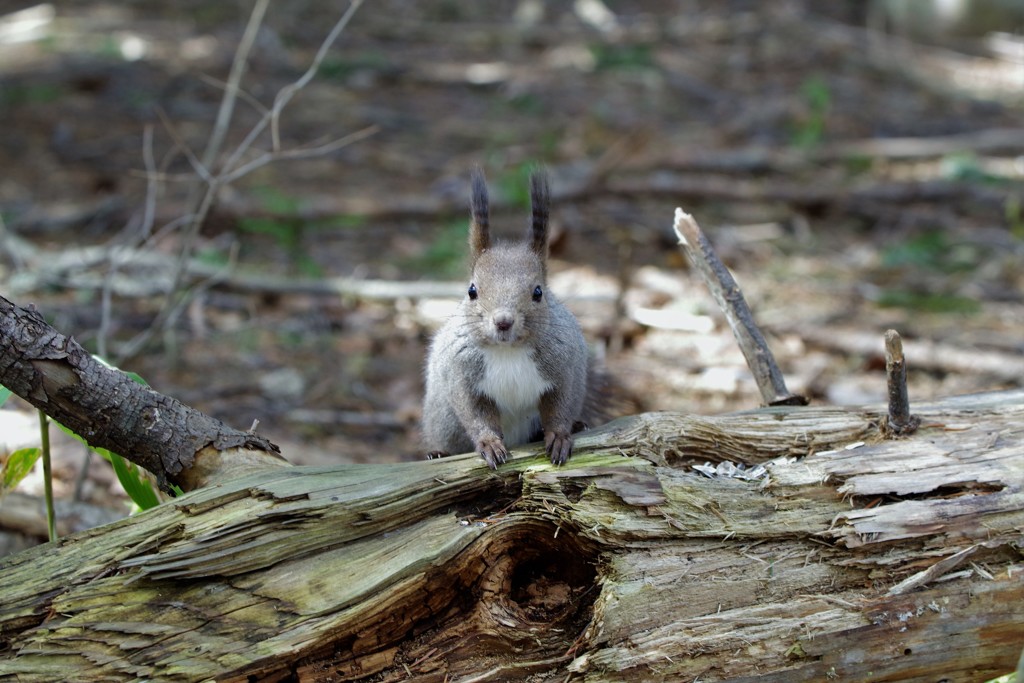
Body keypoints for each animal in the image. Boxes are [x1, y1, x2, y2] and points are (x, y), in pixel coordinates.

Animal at [419, 171, 589, 471]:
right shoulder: (462, 373)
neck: (508, 350)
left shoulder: (564, 366)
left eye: (538, 292)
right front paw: (489, 444)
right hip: (444, 421)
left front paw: (559, 436)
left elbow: (560, 405)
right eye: (472, 290)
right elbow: (475, 413)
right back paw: (437, 453)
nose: (503, 321)